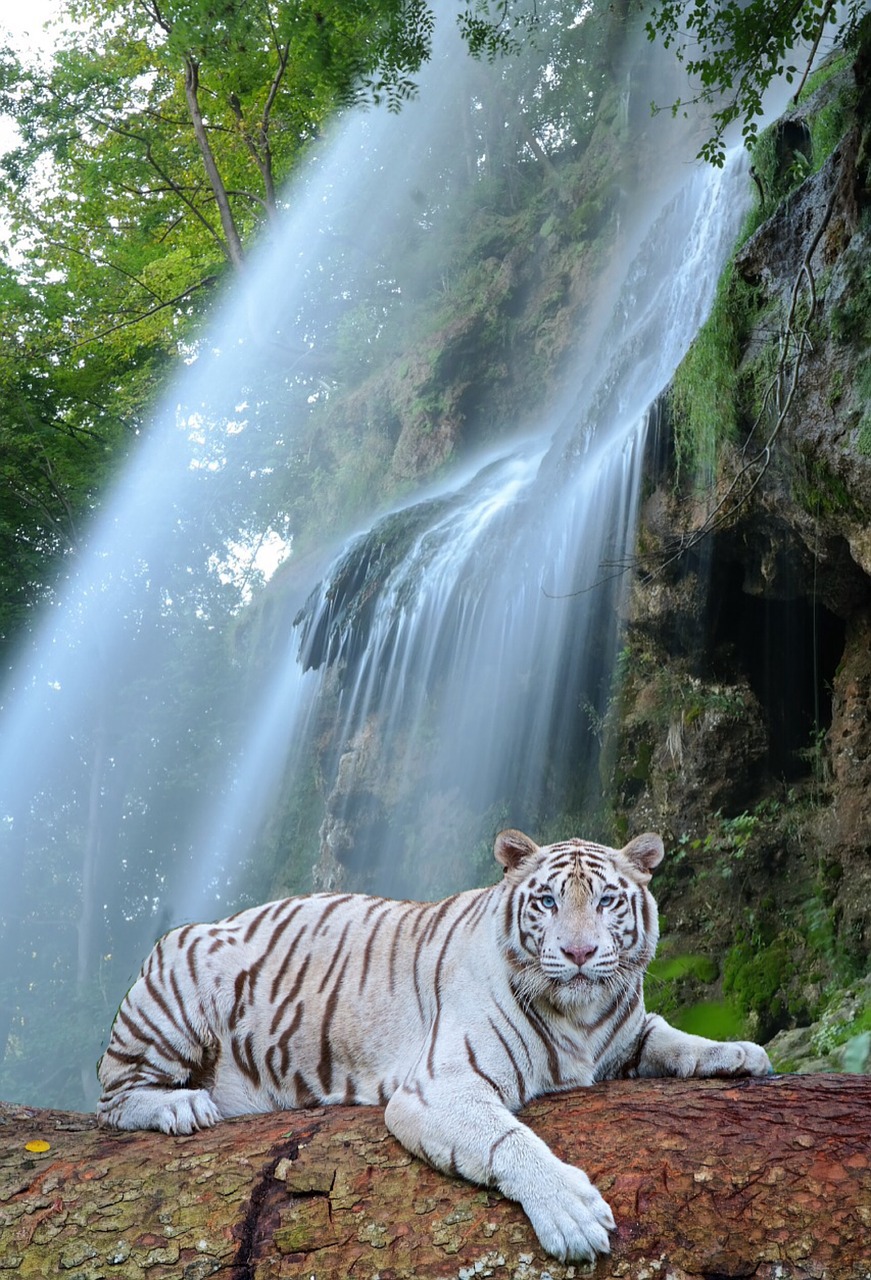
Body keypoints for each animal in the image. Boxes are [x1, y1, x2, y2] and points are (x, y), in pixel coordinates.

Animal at [98, 829, 773, 1259]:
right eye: (548, 900)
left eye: (607, 900)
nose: (580, 953)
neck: (581, 1016)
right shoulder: (441, 1086)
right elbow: (510, 1140)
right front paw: (572, 1214)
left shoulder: (626, 1033)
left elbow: (671, 1036)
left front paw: (739, 1052)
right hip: (177, 990)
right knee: (113, 1099)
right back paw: (182, 1106)